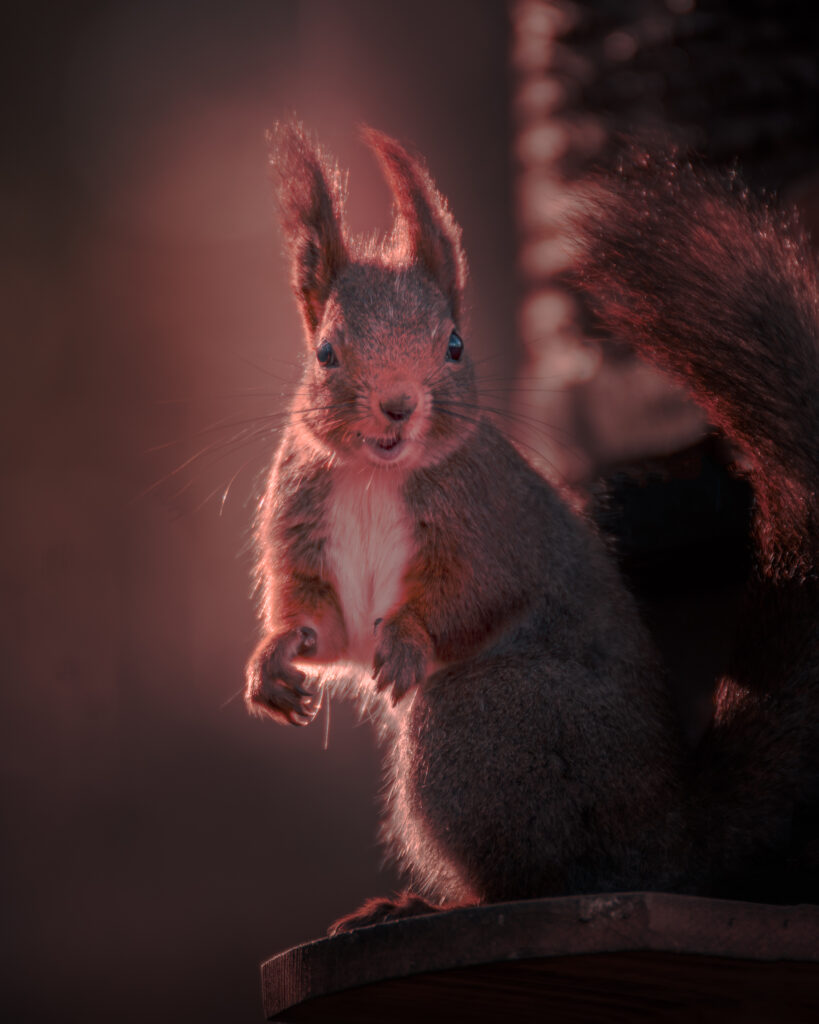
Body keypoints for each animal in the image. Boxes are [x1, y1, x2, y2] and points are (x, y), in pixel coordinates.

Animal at [244, 123, 819, 930]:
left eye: (454, 345)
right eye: (325, 353)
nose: (397, 406)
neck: (376, 473)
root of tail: (670, 837)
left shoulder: (488, 525)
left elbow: (474, 595)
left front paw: (408, 640)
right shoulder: (304, 520)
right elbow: (321, 625)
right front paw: (273, 661)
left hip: (482, 725)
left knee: (532, 882)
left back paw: (421, 906)